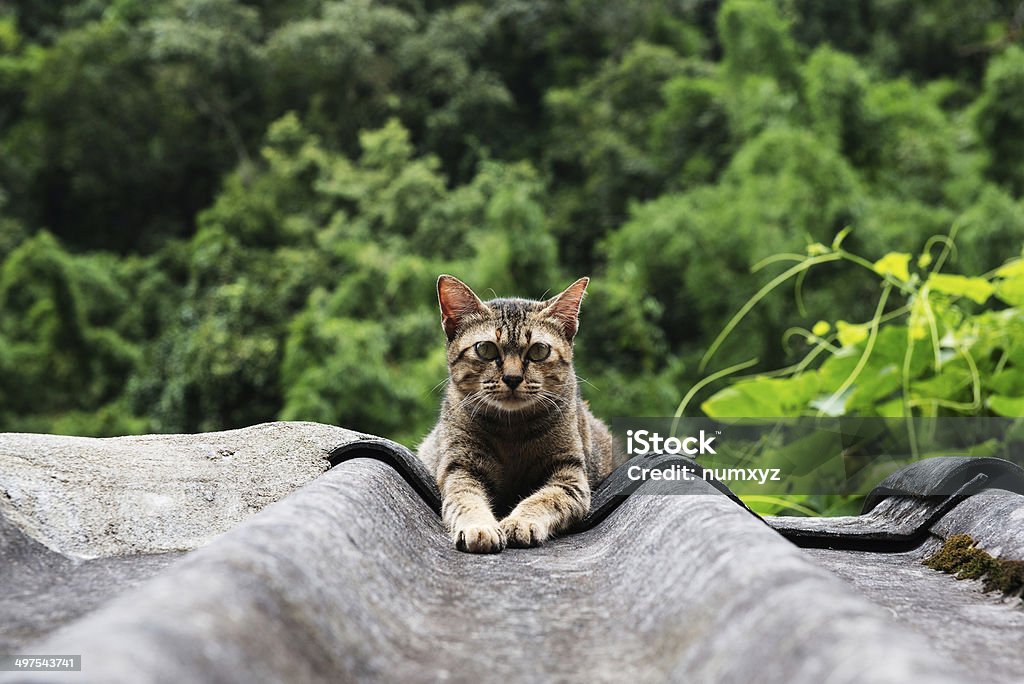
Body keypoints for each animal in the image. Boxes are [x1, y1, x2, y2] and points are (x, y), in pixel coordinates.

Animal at [413, 274, 614, 552]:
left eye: (539, 350)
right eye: (485, 349)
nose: (512, 377)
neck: (512, 432)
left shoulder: (569, 474)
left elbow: (544, 498)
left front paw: (521, 522)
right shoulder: (460, 466)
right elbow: (466, 499)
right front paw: (480, 527)